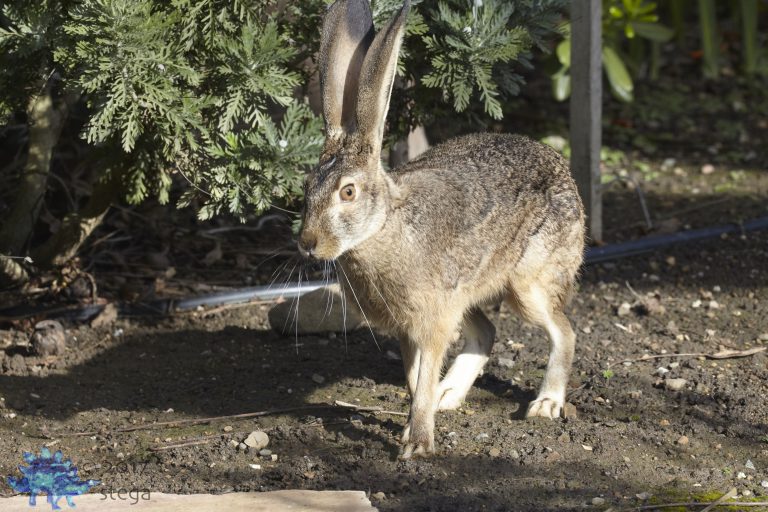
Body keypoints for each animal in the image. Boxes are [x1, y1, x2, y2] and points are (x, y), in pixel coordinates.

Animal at [299, 0, 585, 459]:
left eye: (348, 192)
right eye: (306, 188)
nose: (308, 244)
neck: (384, 227)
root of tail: (562, 170)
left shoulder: (431, 321)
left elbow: (422, 377)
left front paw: (417, 443)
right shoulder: (410, 327)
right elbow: (414, 378)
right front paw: (422, 414)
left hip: (528, 285)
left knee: (564, 331)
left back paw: (545, 403)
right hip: (466, 293)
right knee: (486, 333)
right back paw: (449, 394)